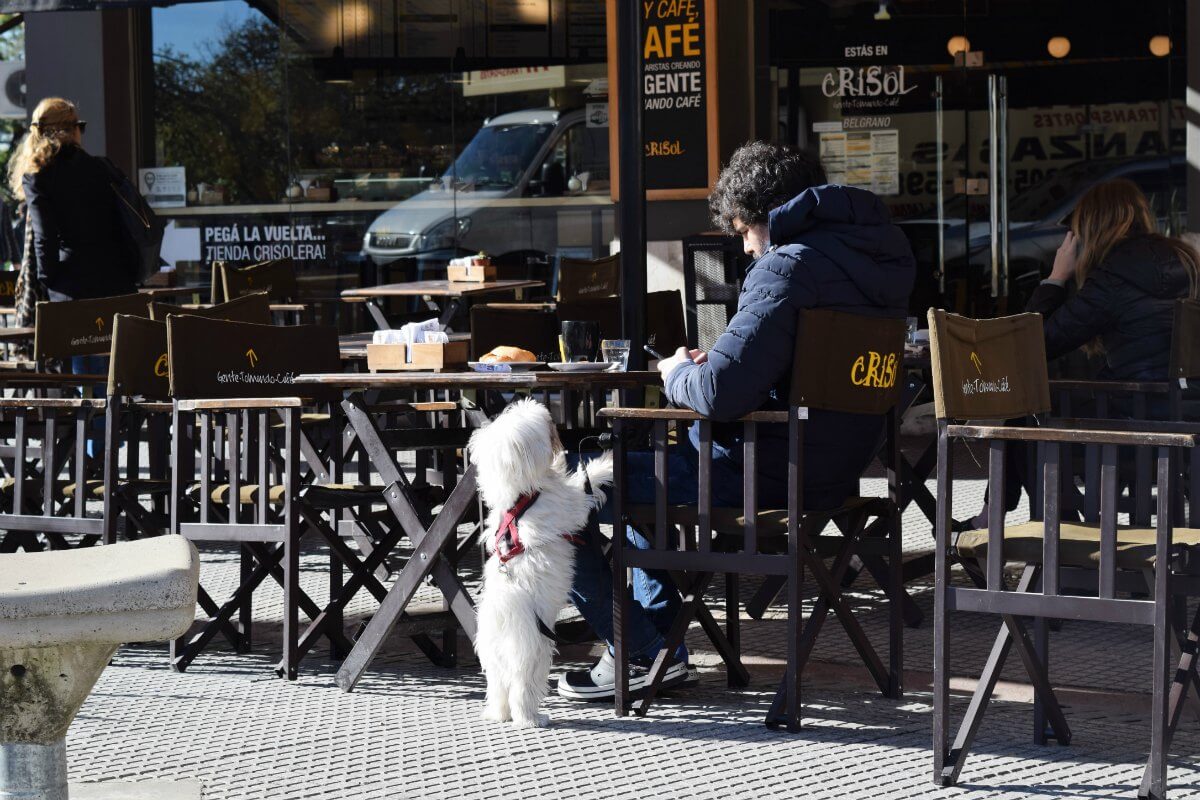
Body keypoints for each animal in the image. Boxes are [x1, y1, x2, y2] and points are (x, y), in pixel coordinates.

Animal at [470, 398, 614, 729]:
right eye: (543, 425)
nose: (554, 423)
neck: (520, 500)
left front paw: (561, 460)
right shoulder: (568, 506)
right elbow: (583, 487)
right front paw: (605, 464)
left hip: (496, 663)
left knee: (499, 692)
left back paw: (497, 714)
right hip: (532, 652)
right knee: (521, 690)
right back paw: (531, 718)